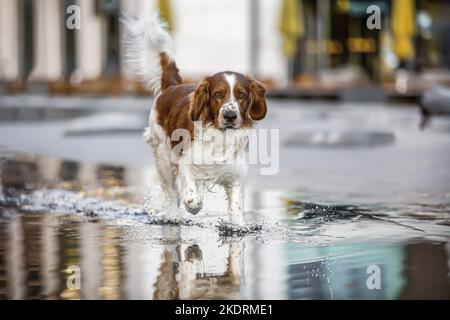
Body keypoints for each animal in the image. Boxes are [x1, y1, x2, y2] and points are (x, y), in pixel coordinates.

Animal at [122, 14, 268, 225]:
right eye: (217, 94)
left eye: (241, 95)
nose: (230, 116)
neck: (219, 137)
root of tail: (171, 87)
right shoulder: (185, 162)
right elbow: (190, 195)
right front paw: (193, 206)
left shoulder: (236, 172)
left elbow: (236, 206)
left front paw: (239, 225)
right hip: (162, 158)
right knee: (170, 192)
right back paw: (174, 216)